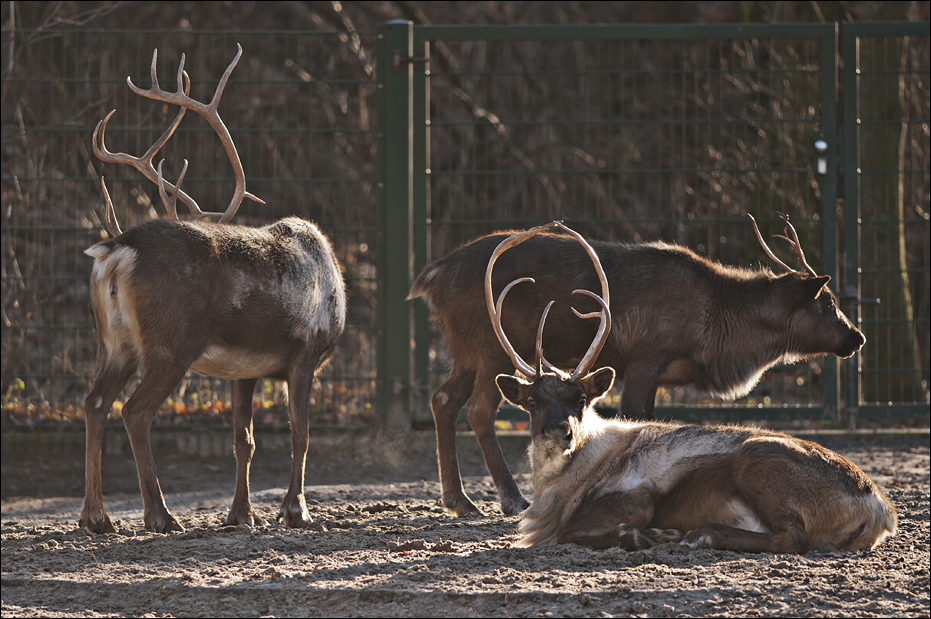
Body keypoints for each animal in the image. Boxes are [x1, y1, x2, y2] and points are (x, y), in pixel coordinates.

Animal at [80, 45, 346, 534]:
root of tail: (117, 249)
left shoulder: (245, 370)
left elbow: (244, 439)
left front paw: (242, 514)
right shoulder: (306, 351)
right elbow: (301, 434)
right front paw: (295, 510)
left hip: (115, 343)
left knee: (95, 403)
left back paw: (98, 516)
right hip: (171, 342)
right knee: (134, 411)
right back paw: (160, 515)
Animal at [408, 216, 866, 518]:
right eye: (828, 303)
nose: (856, 337)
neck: (717, 328)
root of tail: (429, 276)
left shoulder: (657, 376)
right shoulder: (646, 357)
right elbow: (632, 416)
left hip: (466, 350)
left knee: (443, 399)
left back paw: (459, 499)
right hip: (490, 346)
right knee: (478, 408)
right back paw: (508, 497)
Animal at [487, 224, 896, 554]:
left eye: (582, 399)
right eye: (531, 401)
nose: (560, 431)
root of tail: (881, 509)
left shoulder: (638, 497)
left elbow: (572, 530)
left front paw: (643, 535)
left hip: (755, 456)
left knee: (792, 538)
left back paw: (701, 535)